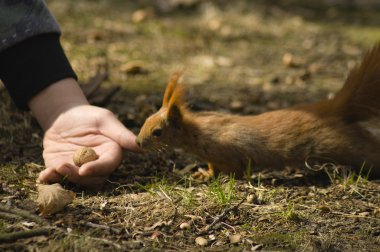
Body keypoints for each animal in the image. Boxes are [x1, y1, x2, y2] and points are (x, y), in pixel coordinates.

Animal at [136, 44, 380, 180]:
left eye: (157, 132)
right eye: (145, 120)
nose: (138, 142)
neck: (197, 133)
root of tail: (332, 107)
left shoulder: (228, 152)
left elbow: (236, 171)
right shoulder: (212, 158)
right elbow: (213, 168)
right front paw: (204, 174)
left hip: (341, 144)